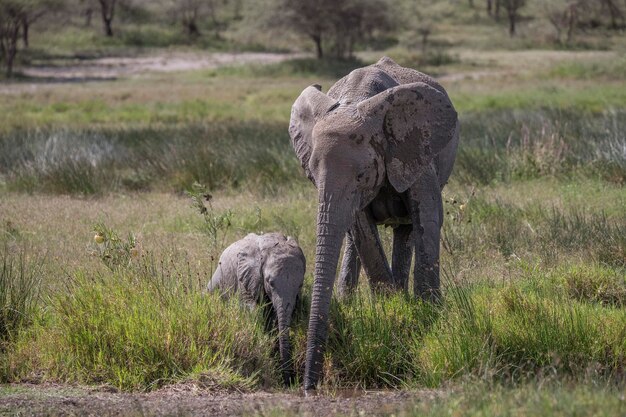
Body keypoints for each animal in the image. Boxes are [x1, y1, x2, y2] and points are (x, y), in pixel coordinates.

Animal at [207, 231, 304, 384]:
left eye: (300, 285)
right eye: (270, 283)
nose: (289, 381)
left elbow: (273, 317)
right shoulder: (246, 276)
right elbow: (251, 309)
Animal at [288, 55, 458, 390]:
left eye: (362, 175)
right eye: (311, 172)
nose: (308, 386)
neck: (357, 100)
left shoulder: (412, 147)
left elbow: (428, 214)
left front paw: (424, 314)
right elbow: (361, 228)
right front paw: (391, 307)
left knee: (408, 229)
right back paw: (354, 300)